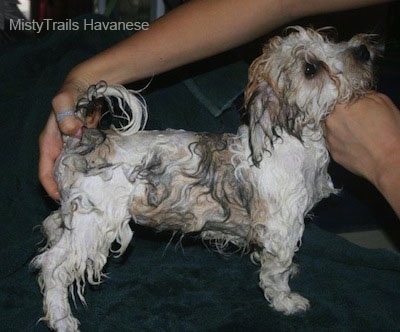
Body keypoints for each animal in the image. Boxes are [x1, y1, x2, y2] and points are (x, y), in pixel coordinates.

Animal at [32, 27, 378, 330]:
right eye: (310, 68)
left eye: (330, 39)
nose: (363, 50)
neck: (294, 141)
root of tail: (84, 137)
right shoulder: (282, 230)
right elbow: (275, 275)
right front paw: (287, 302)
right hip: (94, 226)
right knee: (52, 266)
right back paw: (61, 319)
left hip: (77, 214)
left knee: (51, 226)